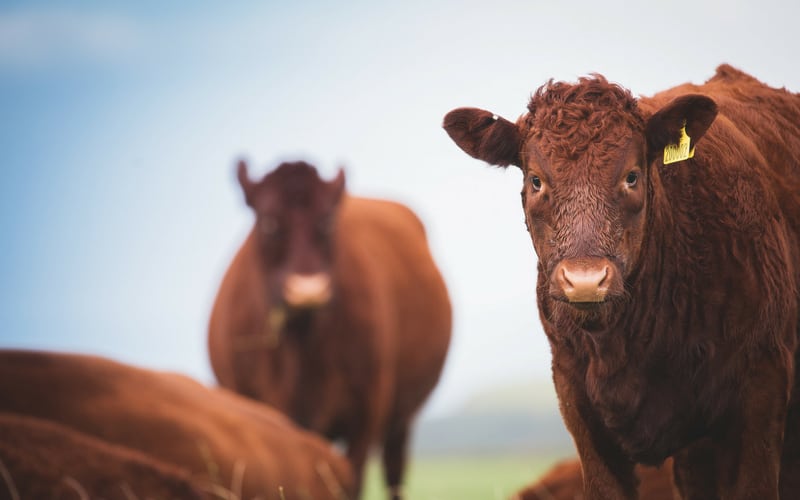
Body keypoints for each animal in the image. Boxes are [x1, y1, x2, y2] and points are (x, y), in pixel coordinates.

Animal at [209, 162, 454, 498]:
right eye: (269, 223)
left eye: (326, 222)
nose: (307, 291)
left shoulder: (365, 414)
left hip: (400, 420)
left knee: (394, 472)